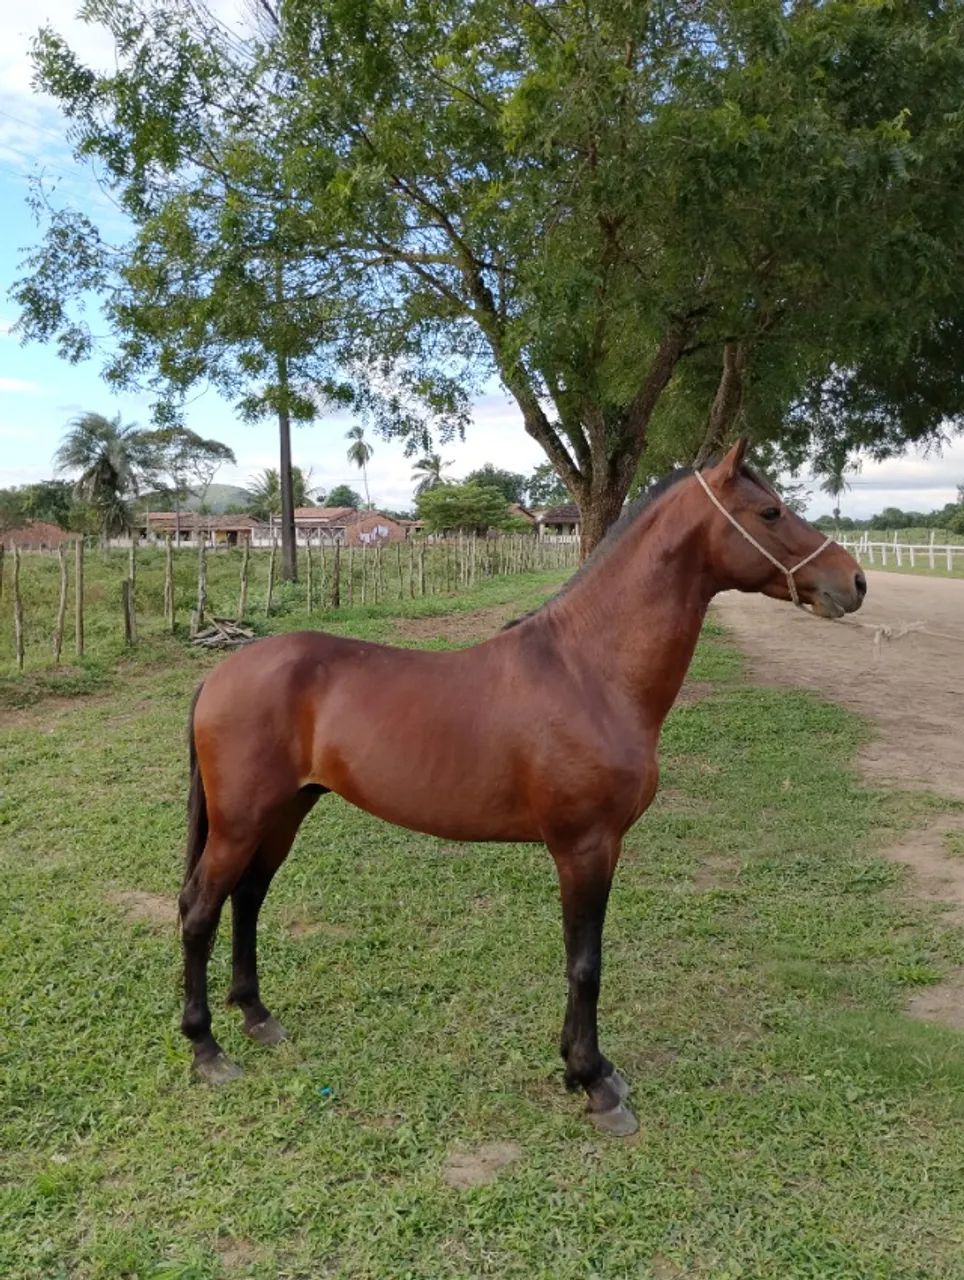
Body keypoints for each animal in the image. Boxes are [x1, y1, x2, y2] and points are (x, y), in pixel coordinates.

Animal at [178, 439, 866, 1136]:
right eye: (770, 511)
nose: (854, 581)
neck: (590, 672)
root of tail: (220, 674)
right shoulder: (585, 847)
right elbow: (585, 963)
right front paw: (593, 1082)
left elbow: (581, 960)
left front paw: (587, 1067)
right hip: (240, 822)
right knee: (201, 909)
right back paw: (207, 1048)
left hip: (284, 813)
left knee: (248, 899)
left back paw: (257, 1016)